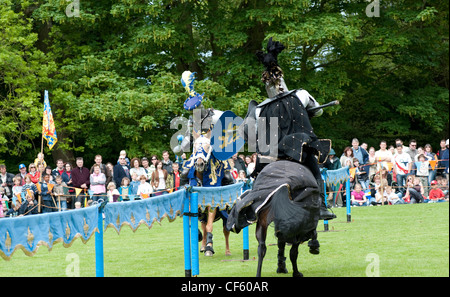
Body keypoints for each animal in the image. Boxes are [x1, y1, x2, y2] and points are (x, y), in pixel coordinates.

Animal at [229, 38, 338, 276]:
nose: (316, 107)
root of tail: (279, 186)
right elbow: (295, 241)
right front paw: (312, 246)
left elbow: (278, 242)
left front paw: (280, 264)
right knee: (294, 245)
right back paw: (299, 266)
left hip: (262, 220)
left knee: (262, 248)